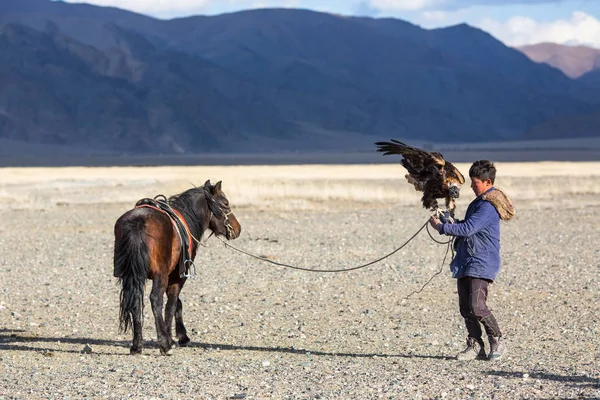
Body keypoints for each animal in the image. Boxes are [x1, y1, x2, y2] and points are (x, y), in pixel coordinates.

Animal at [113, 180, 240, 354]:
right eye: (225, 203)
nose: (238, 229)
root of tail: (138, 223)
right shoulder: (177, 276)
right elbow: (172, 304)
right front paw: (173, 338)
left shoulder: (171, 275)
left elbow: (176, 303)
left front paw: (179, 336)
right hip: (159, 275)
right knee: (155, 299)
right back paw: (164, 345)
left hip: (132, 276)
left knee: (135, 301)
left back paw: (137, 346)